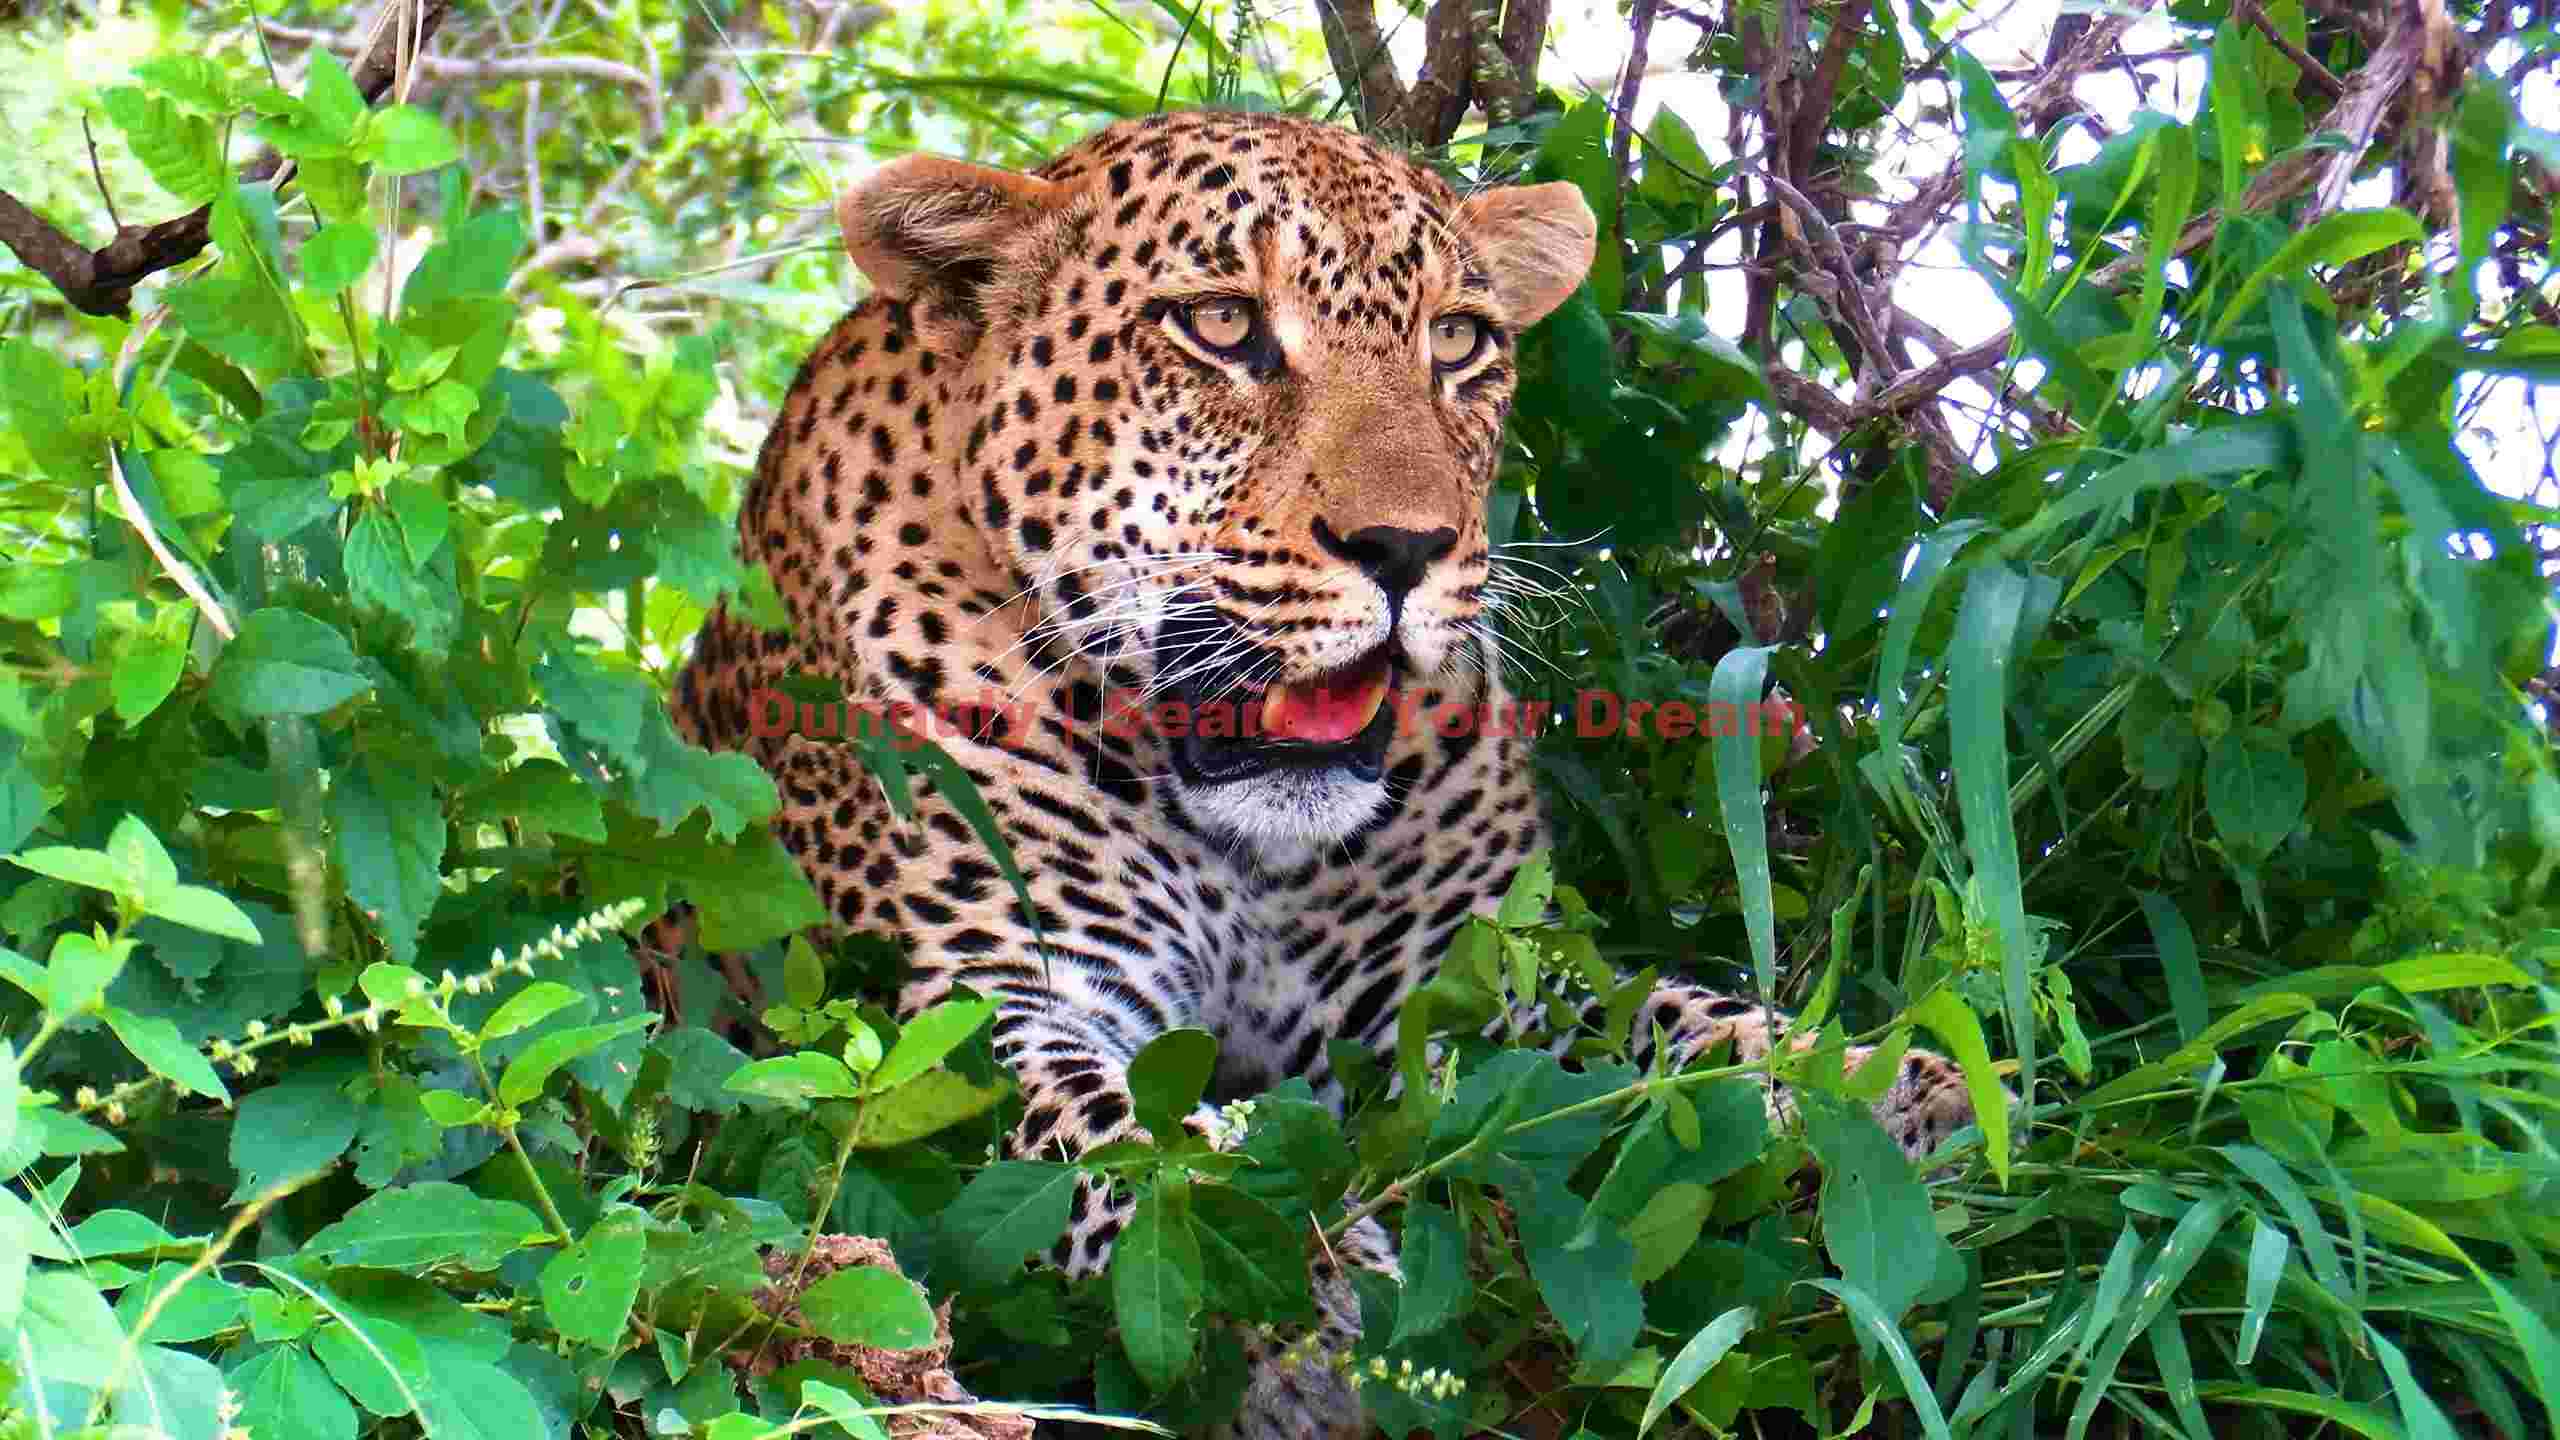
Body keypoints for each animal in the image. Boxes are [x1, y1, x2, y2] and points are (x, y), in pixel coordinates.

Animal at [662, 109, 1991, 1439]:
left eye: (1456, 340)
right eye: (1220, 324)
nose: (1405, 548)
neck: (1250, 846)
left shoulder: (1473, 982)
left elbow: (1696, 1030)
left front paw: (1923, 1098)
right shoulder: (974, 1008)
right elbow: (1128, 1148)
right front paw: (1302, 1310)